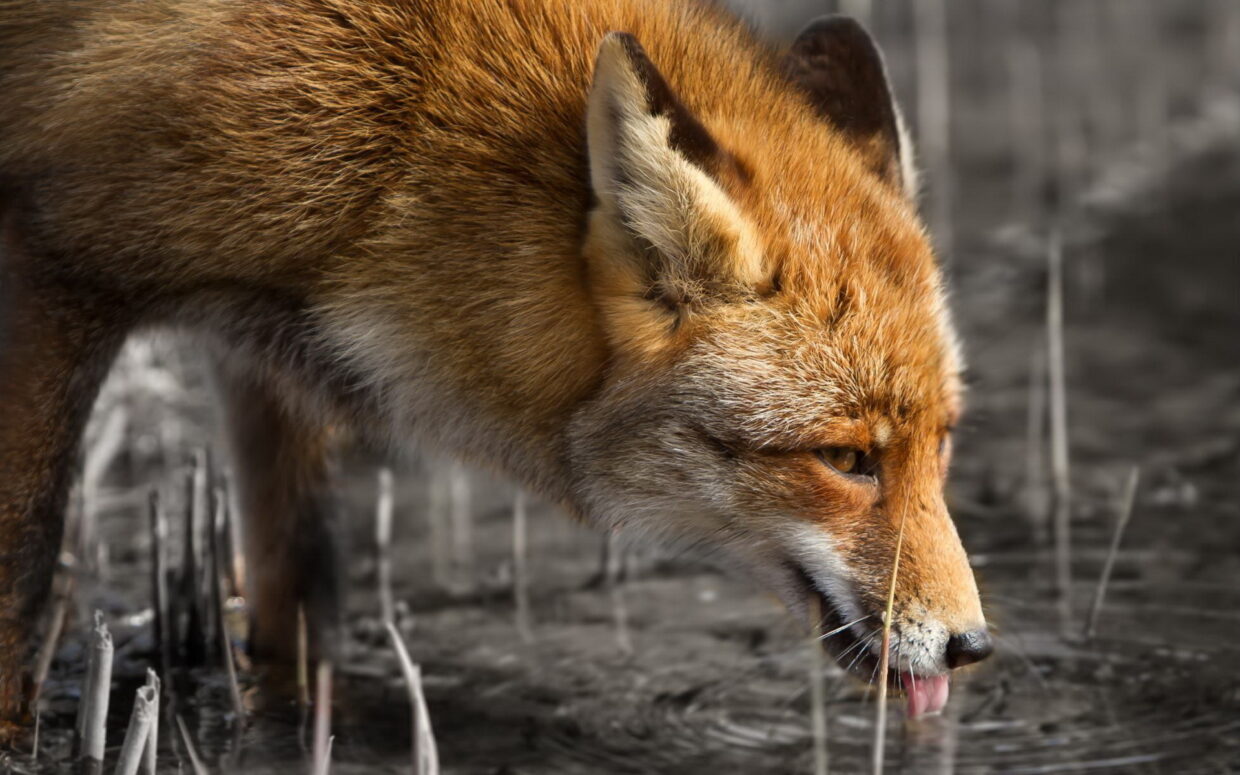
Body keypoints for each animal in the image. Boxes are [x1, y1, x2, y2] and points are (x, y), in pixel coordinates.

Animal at [0, 0, 992, 743]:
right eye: (847, 458)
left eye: (943, 444)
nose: (971, 646)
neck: (391, 141)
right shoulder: (55, 274)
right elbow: (22, 570)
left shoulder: (270, 359)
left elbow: (300, 585)